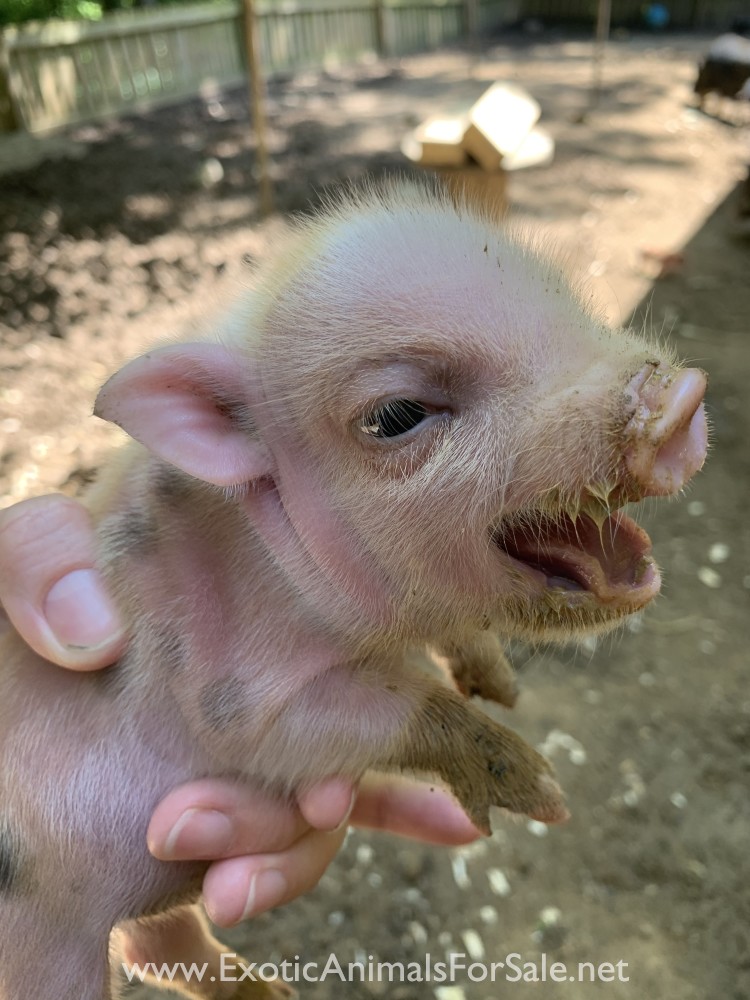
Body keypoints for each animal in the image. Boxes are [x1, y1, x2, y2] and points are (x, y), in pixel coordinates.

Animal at [0, 180, 708, 999]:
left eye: (569, 303)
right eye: (396, 415)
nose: (678, 395)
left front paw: (502, 686)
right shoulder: (235, 705)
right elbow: (397, 708)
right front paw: (543, 790)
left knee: (156, 944)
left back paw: (269, 991)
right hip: (47, 952)